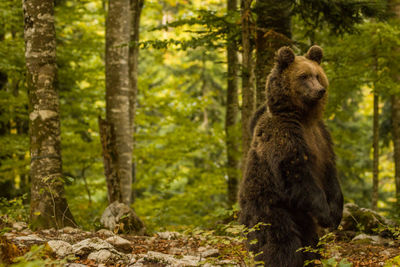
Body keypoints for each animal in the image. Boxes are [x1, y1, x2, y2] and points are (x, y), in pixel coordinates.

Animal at [238, 46, 344, 267]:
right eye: (303, 76)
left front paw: (336, 215)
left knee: (310, 240)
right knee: (279, 239)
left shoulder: (322, 138)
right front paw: (326, 215)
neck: (303, 117)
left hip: (302, 216)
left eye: (318, 75)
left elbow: (330, 173)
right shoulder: (285, 137)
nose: (320, 90)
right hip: (269, 205)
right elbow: (297, 175)